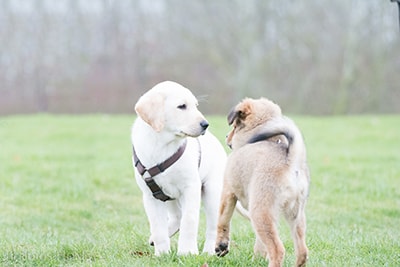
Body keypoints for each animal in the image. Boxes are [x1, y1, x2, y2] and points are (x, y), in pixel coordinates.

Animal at [130, 81, 225, 255]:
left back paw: (209, 252)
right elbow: (158, 227)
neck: (162, 144)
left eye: (195, 106)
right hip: (168, 196)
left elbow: (189, 220)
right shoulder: (151, 196)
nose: (205, 124)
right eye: (182, 106)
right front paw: (162, 254)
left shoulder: (191, 188)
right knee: (177, 216)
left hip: (212, 192)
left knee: (212, 226)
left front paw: (187, 252)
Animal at [216, 98, 310, 267]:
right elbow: (260, 244)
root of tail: (291, 161)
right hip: (296, 215)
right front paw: (258, 259)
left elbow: (223, 221)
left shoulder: (228, 192)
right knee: (302, 252)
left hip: (260, 212)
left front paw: (221, 246)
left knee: (277, 250)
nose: (227, 136)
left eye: (235, 126)